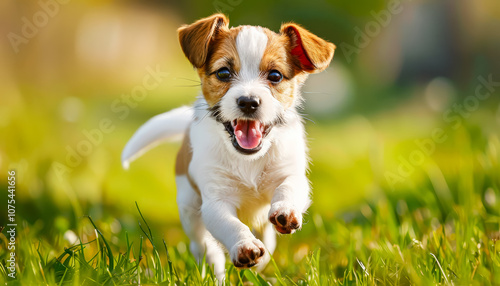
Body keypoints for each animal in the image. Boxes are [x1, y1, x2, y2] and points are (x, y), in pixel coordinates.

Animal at [120, 13, 334, 282]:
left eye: (275, 76)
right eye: (223, 73)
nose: (248, 102)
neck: (248, 160)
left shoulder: (290, 174)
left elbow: (289, 189)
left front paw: (286, 210)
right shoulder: (215, 201)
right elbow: (232, 225)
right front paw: (244, 246)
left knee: (267, 238)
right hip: (190, 210)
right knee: (205, 248)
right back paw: (215, 274)